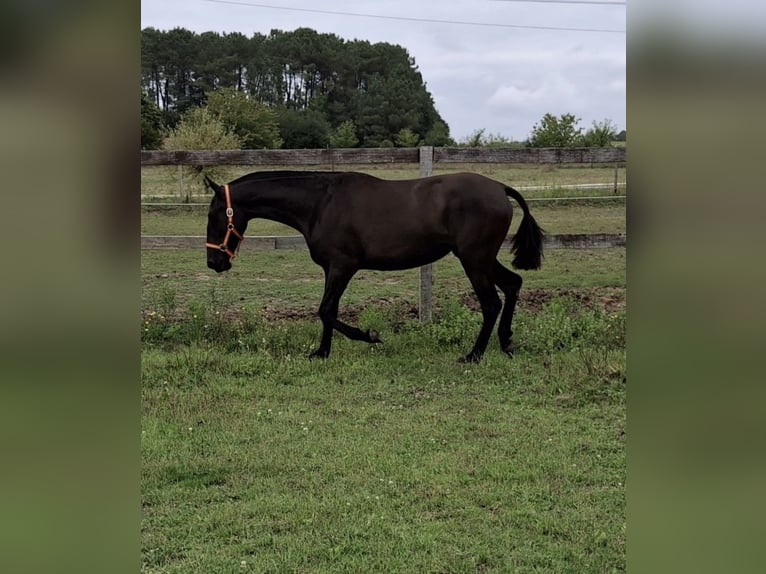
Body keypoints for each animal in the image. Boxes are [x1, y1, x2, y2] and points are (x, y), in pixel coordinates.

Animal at [202, 169, 544, 364]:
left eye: (213, 215)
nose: (214, 262)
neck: (320, 204)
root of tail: (500, 188)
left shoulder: (343, 266)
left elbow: (326, 310)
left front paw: (370, 336)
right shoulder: (331, 269)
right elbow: (328, 311)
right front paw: (321, 353)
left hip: (473, 259)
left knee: (491, 303)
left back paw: (474, 355)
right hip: (482, 259)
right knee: (513, 284)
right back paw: (506, 342)